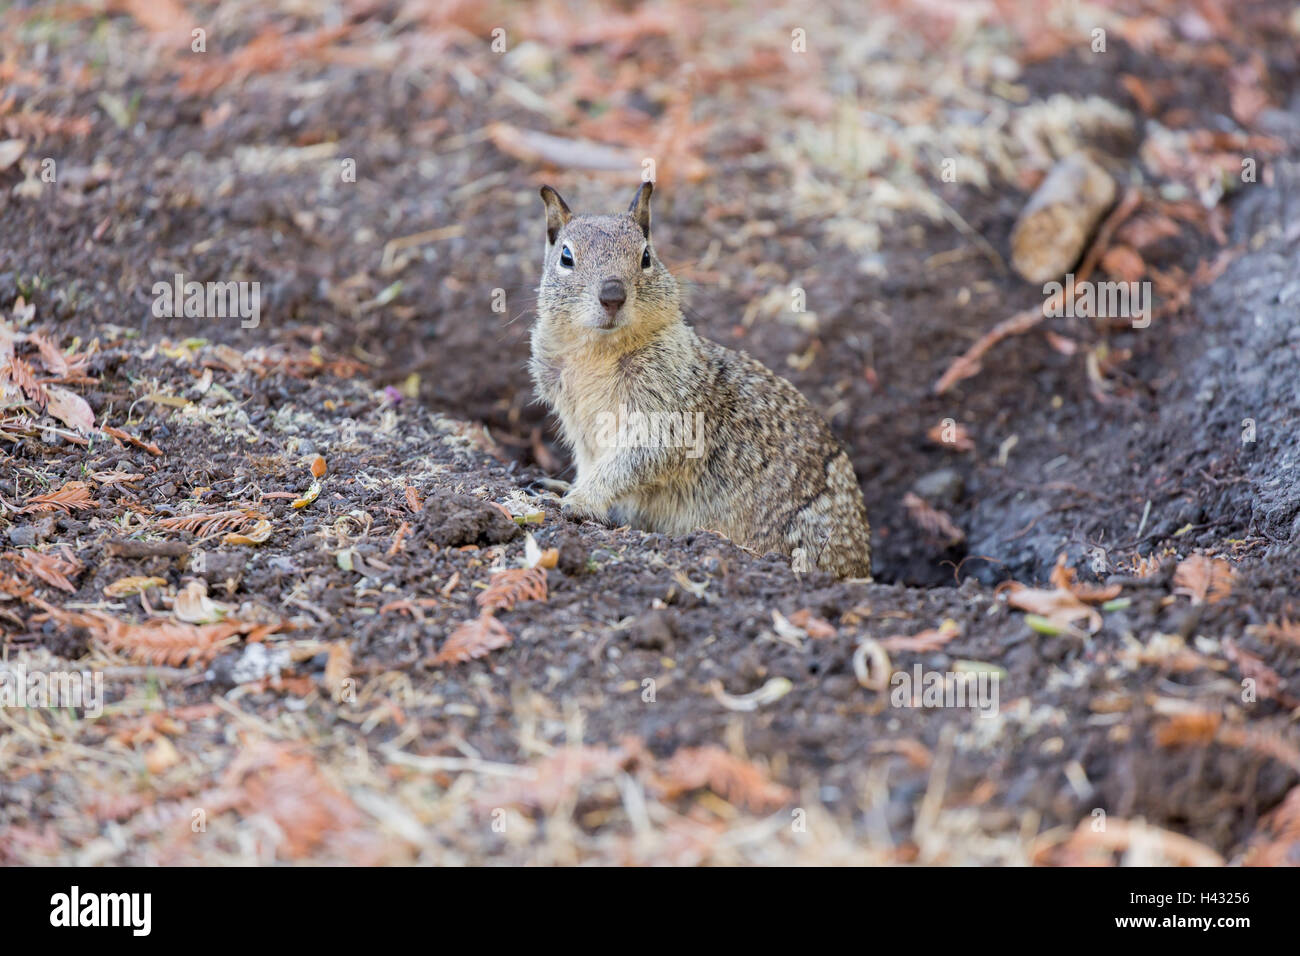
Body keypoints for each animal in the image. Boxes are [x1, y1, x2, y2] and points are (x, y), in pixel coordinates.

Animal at [527, 183, 873, 580]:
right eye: (566, 257)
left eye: (646, 256)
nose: (613, 296)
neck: (599, 352)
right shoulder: (578, 425)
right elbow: (593, 463)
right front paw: (561, 488)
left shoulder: (666, 415)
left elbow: (631, 462)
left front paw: (580, 500)